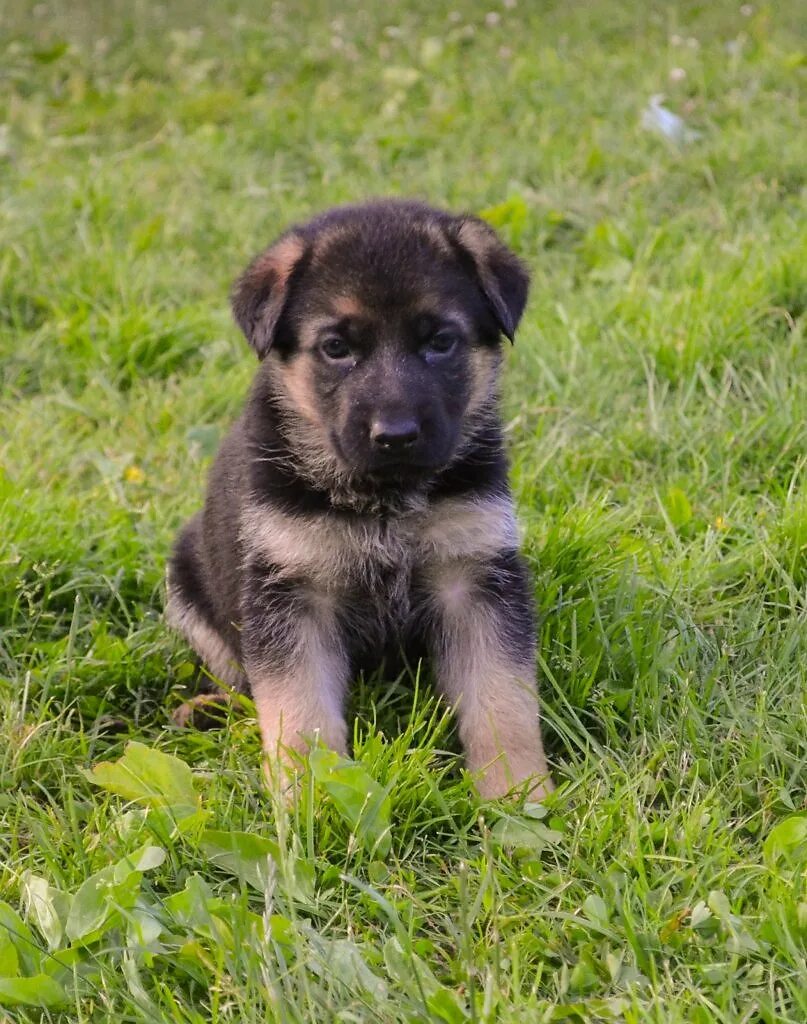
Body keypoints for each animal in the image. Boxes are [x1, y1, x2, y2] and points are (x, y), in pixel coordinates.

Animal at [164, 193, 553, 798]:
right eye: (336, 348)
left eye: (440, 342)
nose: (395, 435)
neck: (386, 501)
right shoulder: (291, 597)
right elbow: (299, 717)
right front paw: (310, 802)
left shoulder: (475, 580)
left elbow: (502, 704)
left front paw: (519, 795)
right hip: (187, 581)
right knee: (235, 681)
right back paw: (205, 709)